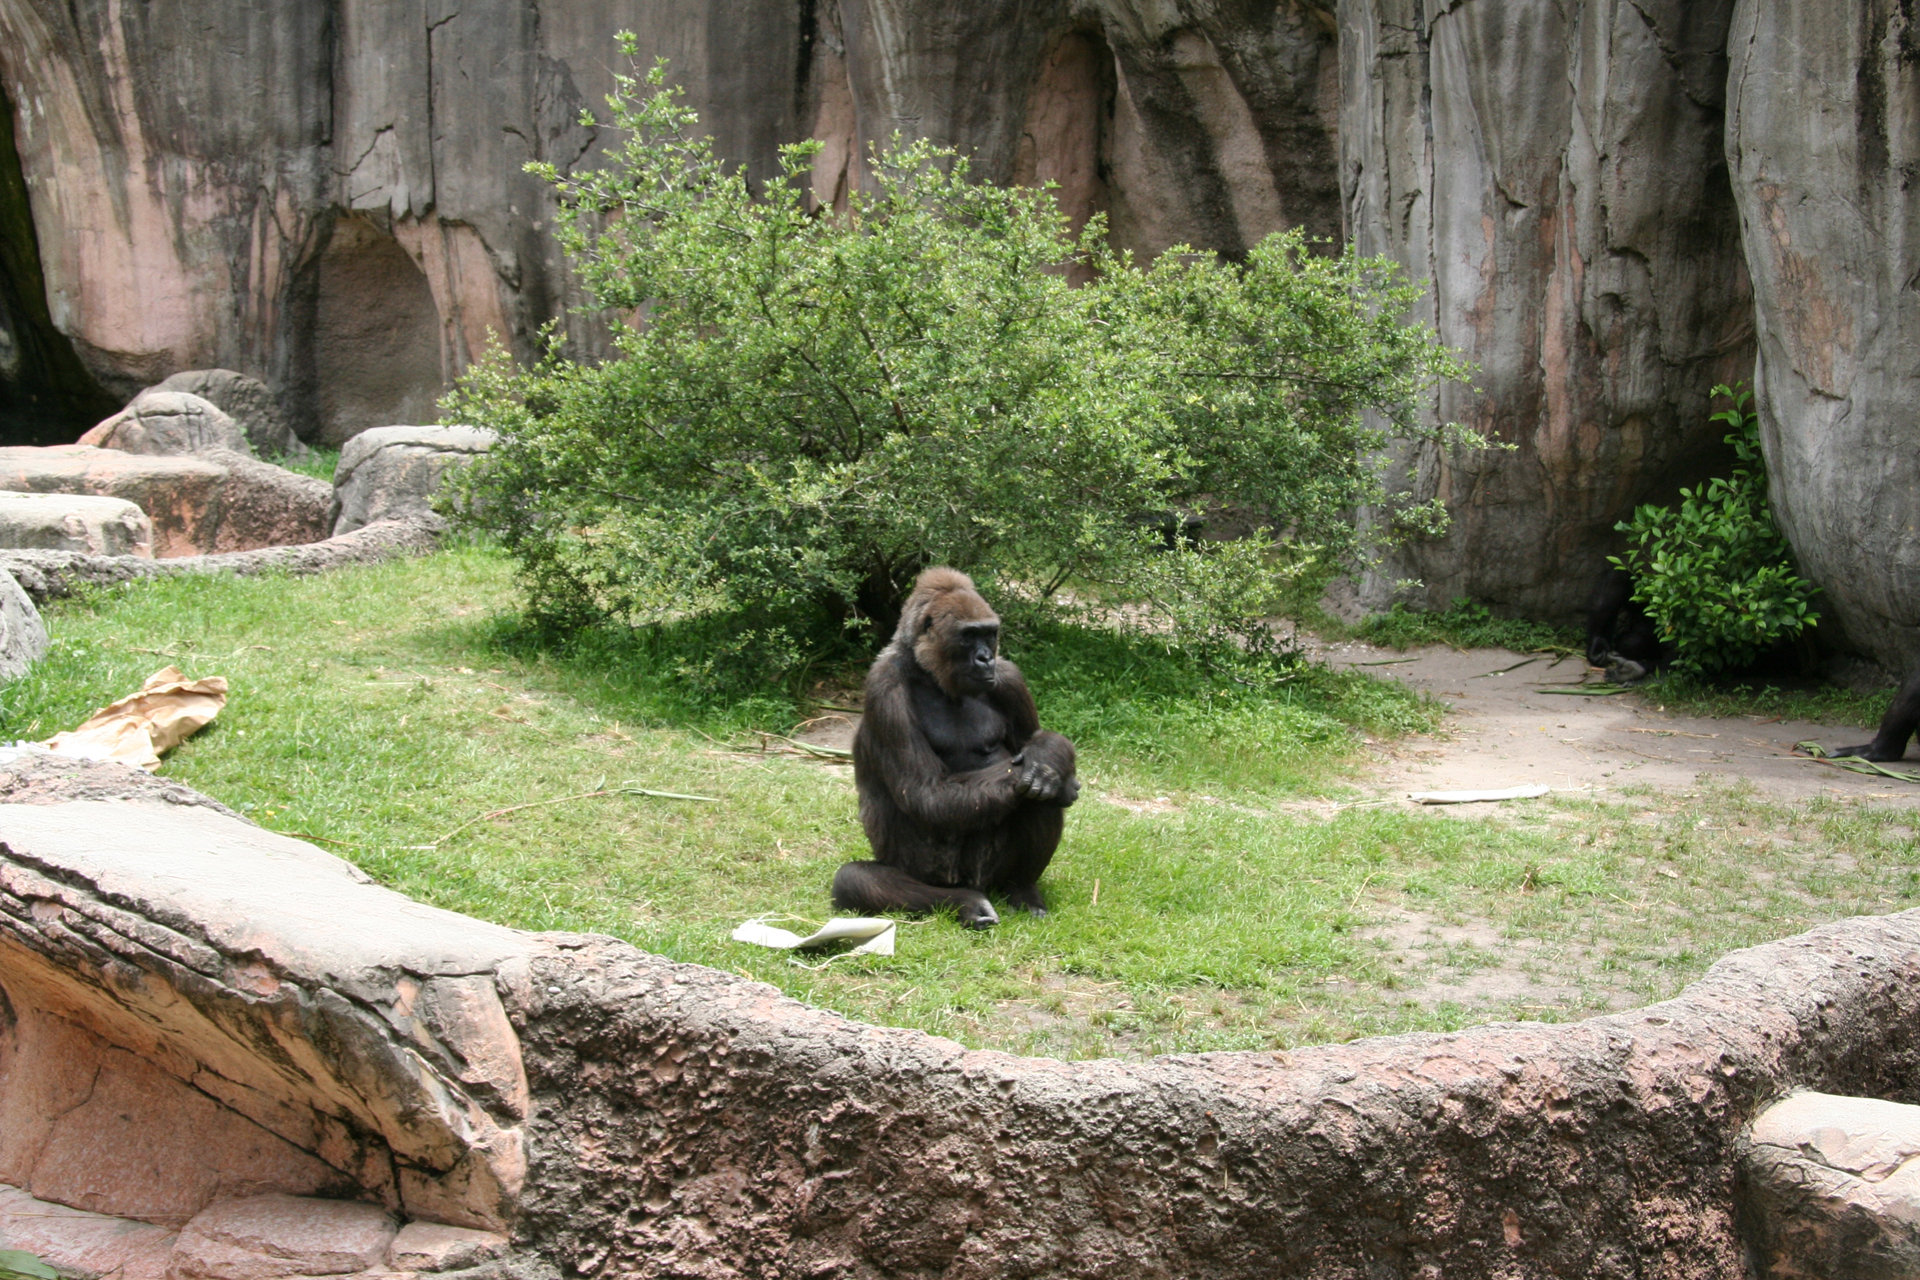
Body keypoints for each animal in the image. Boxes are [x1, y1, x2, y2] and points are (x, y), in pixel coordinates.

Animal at [832, 567, 1079, 929]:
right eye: (969, 635)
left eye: (990, 634)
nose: (985, 658)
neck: (928, 671)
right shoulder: (884, 689)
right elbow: (928, 793)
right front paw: (1051, 760)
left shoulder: (1010, 678)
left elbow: (1031, 747)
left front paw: (1051, 753)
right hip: (930, 873)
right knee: (854, 880)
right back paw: (964, 901)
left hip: (991, 875)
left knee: (1038, 796)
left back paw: (1022, 888)